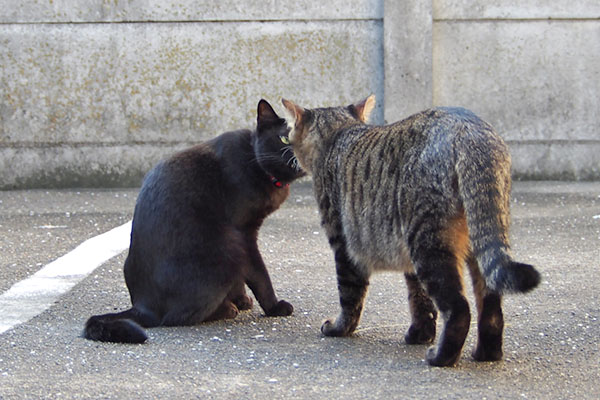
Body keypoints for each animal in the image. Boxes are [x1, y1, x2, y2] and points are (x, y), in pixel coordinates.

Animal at [84, 100, 304, 344]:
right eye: (284, 139)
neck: (254, 161)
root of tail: (142, 306)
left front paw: (242, 299)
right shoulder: (243, 233)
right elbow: (259, 274)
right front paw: (273, 307)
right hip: (227, 252)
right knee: (176, 318)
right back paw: (226, 309)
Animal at [284, 96, 540, 366]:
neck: (339, 134)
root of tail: (470, 130)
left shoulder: (343, 245)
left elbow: (350, 296)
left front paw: (338, 328)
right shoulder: (408, 259)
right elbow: (420, 301)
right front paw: (420, 334)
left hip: (428, 242)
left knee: (459, 309)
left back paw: (441, 357)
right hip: (477, 240)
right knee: (490, 306)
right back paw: (486, 353)